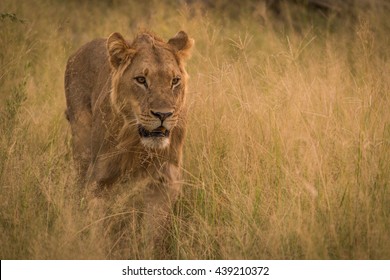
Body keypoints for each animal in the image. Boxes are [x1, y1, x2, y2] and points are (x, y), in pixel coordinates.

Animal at [64, 30, 195, 252]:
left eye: (175, 80)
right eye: (141, 80)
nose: (163, 114)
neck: (137, 145)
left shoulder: (165, 180)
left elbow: (153, 233)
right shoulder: (99, 180)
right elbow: (97, 228)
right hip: (82, 146)